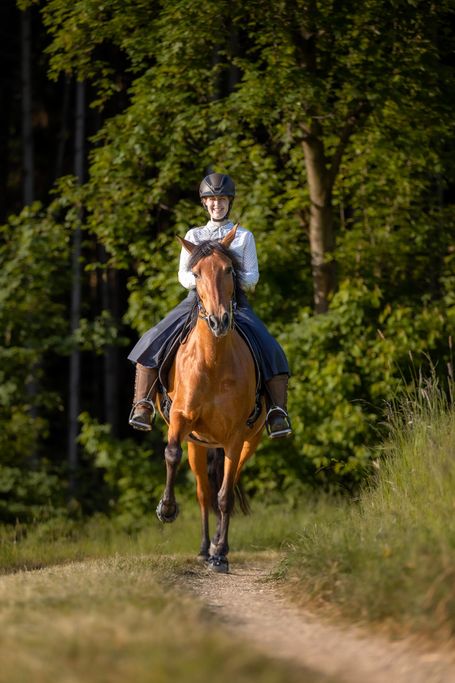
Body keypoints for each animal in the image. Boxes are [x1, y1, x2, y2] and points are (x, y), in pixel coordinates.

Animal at [155, 224, 266, 572]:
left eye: (229, 269)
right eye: (196, 273)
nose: (218, 321)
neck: (214, 361)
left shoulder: (235, 437)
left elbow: (225, 496)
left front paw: (221, 554)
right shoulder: (181, 419)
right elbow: (171, 454)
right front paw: (167, 509)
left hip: (247, 443)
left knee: (224, 487)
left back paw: (217, 547)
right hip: (198, 445)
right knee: (204, 492)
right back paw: (205, 547)